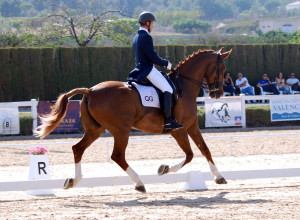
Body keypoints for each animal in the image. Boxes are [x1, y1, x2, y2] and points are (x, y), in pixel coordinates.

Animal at [34, 47, 232, 192]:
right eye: (222, 69)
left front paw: (219, 176)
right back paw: (139, 183)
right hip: (121, 130)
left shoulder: (192, 126)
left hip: (95, 129)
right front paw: (164, 169)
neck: (184, 86)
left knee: (78, 149)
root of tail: (90, 90)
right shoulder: (179, 130)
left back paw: (73, 181)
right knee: (117, 155)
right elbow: (190, 155)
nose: (217, 93)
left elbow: (205, 149)